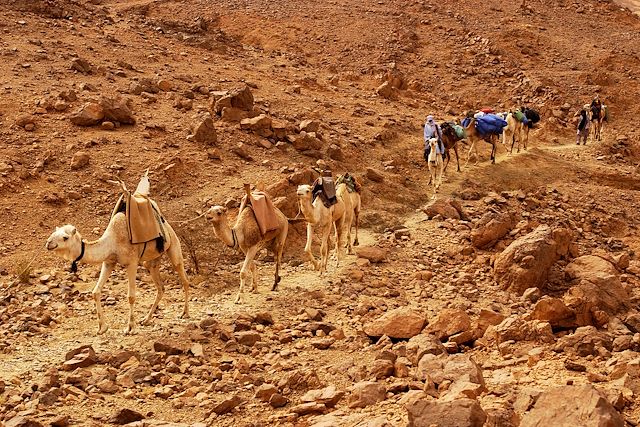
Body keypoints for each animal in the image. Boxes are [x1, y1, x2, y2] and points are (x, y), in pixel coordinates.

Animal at [45, 199, 190, 336]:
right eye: (53, 233)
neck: (112, 242)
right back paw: (146, 319)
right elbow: (95, 292)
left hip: (173, 245)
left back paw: (184, 313)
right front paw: (102, 328)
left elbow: (131, 296)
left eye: (65, 237)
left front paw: (130, 328)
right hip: (152, 260)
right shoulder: (109, 262)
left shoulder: (132, 263)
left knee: (183, 277)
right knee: (160, 286)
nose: (48, 243)